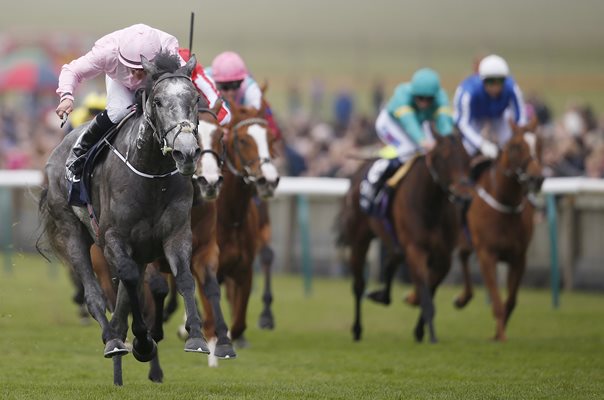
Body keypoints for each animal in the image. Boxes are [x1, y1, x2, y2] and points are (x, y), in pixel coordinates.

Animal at [39, 50, 208, 384]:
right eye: (158, 101)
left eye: (195, 98)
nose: (185, 153)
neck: (152, 175)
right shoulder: (113, 238)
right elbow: (128, 281)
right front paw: (141, 342)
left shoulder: (176, 233)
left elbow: (182, 277)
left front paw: (194, 336)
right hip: (72, 232)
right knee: (94, 294)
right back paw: (113, 339)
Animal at [338, 130, 474, 340]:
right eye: (443, 158)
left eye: (467, 158)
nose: (465, 196)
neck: (431, 205)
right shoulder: (415, 248)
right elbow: (426, 295)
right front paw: (431, 336)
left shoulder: (443, 255)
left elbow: (430, 288)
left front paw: (419, 326)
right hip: (359, 239)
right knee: (358, 284)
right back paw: (357, 329)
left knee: (391, 261)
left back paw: (382, 296)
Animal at [456, 119, 544, 340]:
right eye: (516, 146)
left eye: (540, 144)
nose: (537, 179)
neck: (506, 204)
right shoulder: (487, 254)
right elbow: (496, 301)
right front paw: (501, 337)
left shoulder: (519, 257)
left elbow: (510, 301)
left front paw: (498, 333)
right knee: (460, 258)